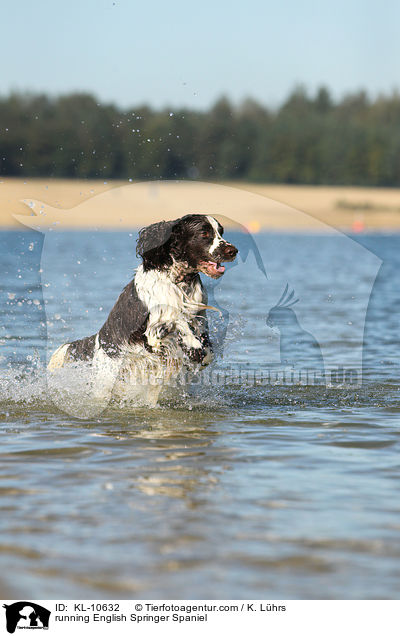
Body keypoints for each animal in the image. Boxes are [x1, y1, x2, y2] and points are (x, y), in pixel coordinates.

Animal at [49, 214, 238, 402]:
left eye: (220, 232)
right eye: (204, 233)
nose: (233, 251)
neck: (179, 281)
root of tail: (97, 340)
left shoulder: (200, 316)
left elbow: (205, 345)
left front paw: (199, 351)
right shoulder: (154, 326)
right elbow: (178, 321)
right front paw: (194, 346)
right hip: (105, 378)